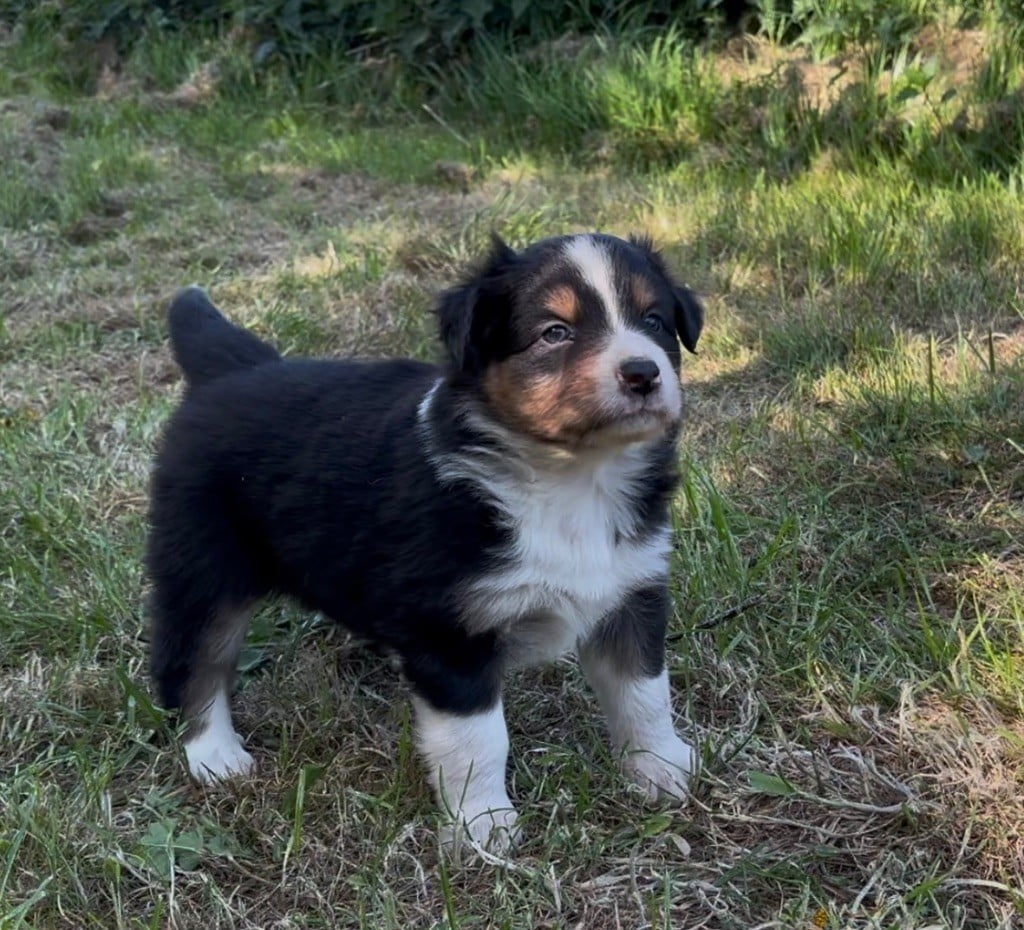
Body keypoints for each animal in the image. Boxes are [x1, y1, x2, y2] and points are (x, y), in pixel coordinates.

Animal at [147, 232, 703, 850]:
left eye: (654, 320)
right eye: (555, 332)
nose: (643, 373)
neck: (573, 479)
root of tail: (230, 372)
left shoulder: (631, 591)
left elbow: (643, 694)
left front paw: (660, 768)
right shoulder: (450, 632)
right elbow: (478, 739)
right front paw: (485, 825)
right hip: (204, 569)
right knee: (192, 660)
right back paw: (216, 755)